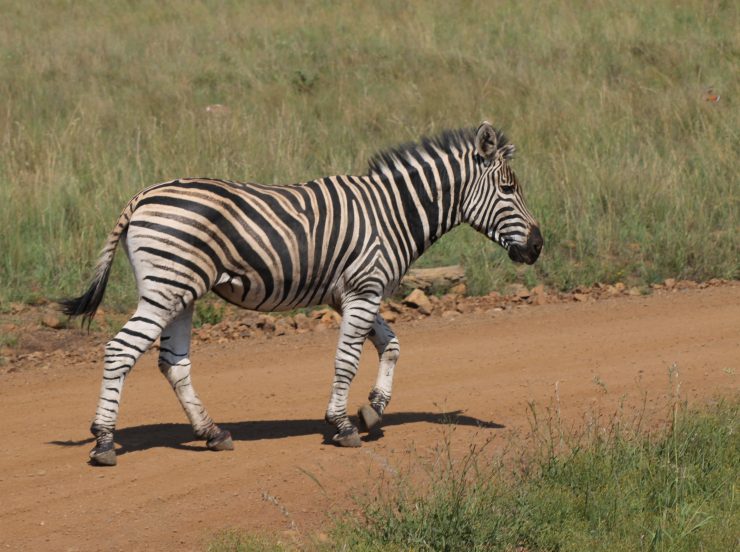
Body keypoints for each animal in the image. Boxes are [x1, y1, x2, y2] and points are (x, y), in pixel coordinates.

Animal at [60, 122, 540, 466]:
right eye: (508, 189)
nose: (538, 246)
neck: (393, 213)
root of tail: (141, 196)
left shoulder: (352, 293)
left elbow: (392, 346)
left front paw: (373, 410)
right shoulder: (363, 288)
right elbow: (348, 360)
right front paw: (343, 426)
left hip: (182, 292)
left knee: (173, 363)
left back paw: (213, 434)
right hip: (166, 287)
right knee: (121, 350)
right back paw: (104, 443)